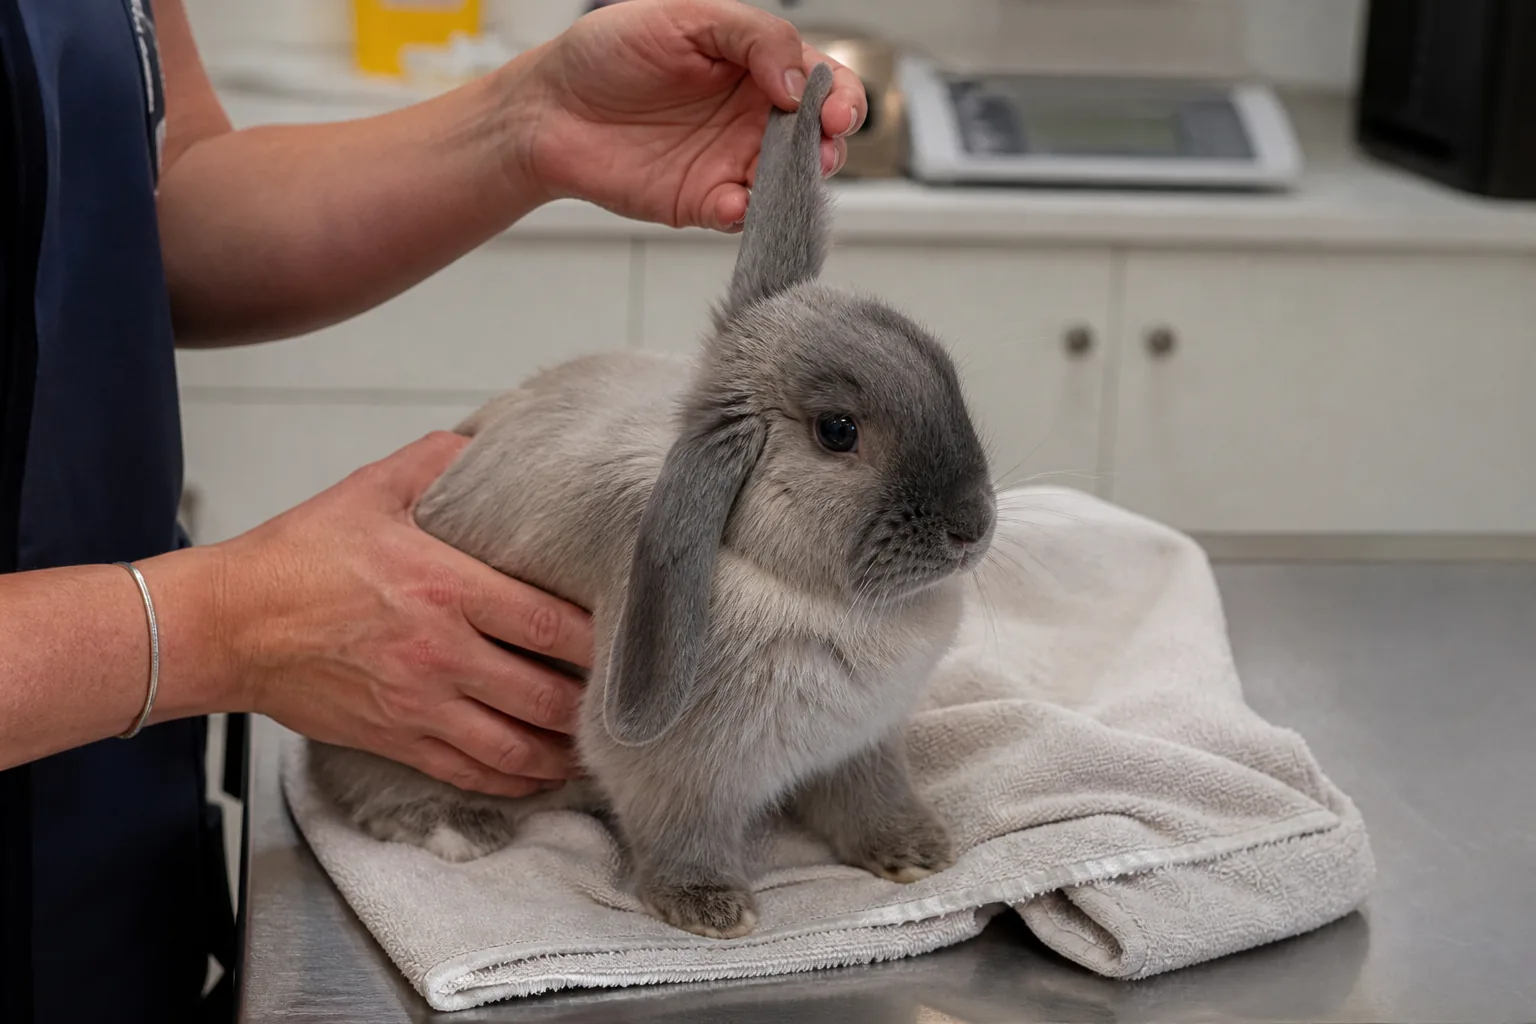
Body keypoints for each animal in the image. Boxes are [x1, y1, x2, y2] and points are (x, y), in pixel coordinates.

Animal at [307, 63, 996, 940]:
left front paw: (916, 854)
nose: (972, 529)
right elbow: (680, 830)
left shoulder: (861, 745)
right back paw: (461, 828)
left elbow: (870, 798)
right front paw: (711, 910)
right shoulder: (675, 772)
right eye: (838, 432)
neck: (800, 587)